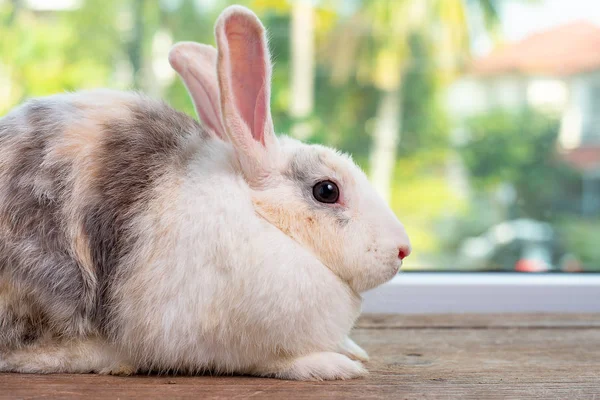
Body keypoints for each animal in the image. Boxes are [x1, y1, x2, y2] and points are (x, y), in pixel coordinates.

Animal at [0, 6, 410, 382]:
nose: (403, 250)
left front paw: (352, 349)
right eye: (327, 190)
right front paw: (331, 364)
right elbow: (273, 361)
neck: (263, 217)